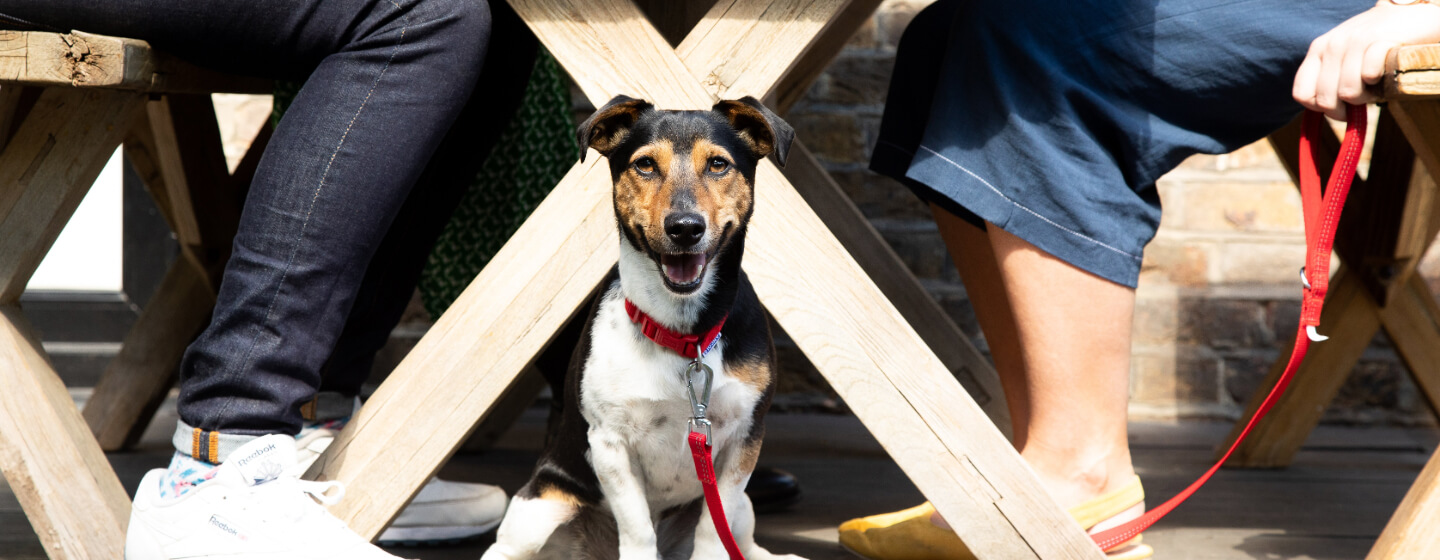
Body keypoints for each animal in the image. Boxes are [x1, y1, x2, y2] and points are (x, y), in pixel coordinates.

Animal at [480, 95, 800, 558]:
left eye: (718, 164)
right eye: (645, 164)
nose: (684, 228)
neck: (684, 334)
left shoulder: (744, 438)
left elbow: (712, 530)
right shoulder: (609, 443)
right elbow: (636, 529)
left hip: (743, 510)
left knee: (743, 541)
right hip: (540, 510)